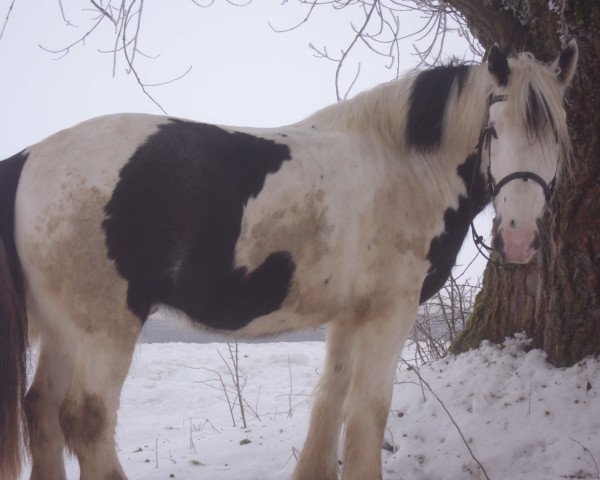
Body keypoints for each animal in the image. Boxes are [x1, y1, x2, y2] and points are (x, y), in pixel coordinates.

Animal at [0, 42, 576, 480]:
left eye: (558, 135)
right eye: (494, 129)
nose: (520, 238)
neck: (404, 164)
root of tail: (32, 156)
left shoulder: (350, 315)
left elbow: (331, 399)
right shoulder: (390, 312)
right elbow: (368, 409)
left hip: (62, 327)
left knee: (41, 410)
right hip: (105, 327)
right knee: (86, 419)